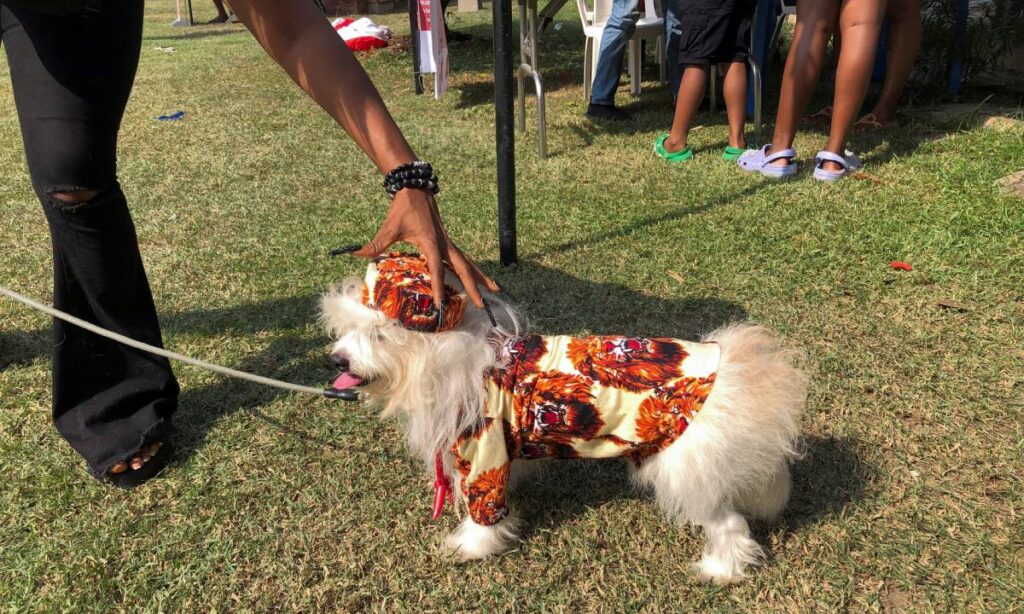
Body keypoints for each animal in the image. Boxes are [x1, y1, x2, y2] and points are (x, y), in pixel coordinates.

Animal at [323, 253, 802, 585]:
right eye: (345, 329)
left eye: (379, 335)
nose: (337, 359)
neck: (451, 356)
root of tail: (740, 369)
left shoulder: (483, 456)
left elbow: (483, 513)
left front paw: (471, 547)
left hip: (684, 469)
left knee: (729, 525)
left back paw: (721, 570)